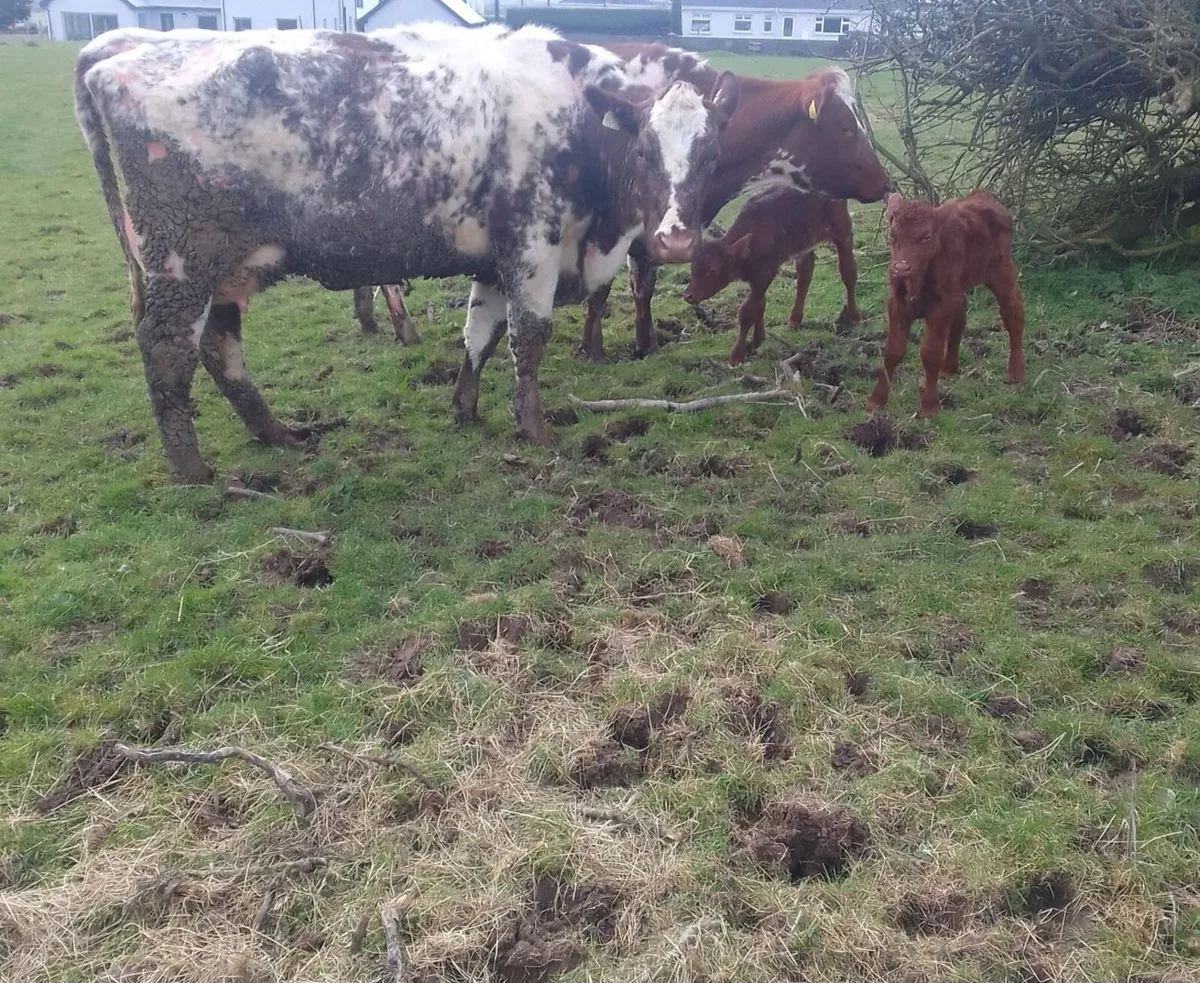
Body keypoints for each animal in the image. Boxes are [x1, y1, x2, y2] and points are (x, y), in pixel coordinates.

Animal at [75, 24, 737, 483]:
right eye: (645, 151)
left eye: (709, 157)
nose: (677, 239)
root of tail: (121, 50)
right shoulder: (532, 250)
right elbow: (528, 339)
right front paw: (534, 429)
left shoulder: (493, 260)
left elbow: (480, 335)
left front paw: (465, 409)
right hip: (182, 261)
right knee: (167, 351)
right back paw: (193, 472)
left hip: (226, 269)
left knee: (219, 347)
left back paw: (279, 435)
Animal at [682, 187, 859, 365]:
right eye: (693, 268)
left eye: (712, 270)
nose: (688, 295)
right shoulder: (757, 278)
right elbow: (759, 304)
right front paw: (757, 340)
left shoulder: (765, 273)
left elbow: (747, 311)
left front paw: (736, 355)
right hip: (804, 241)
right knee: (805, 273)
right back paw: (795, 320)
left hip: (842, 227)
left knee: (848, 272)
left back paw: (853, 316)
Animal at [867, 190, 1026, 417]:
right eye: (892, 235)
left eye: (926, 237)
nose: (901, 268)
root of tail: (983, 195)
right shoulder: (896, 304)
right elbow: (892, 352)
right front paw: (876, 400)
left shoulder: (940, 307)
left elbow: (930, 353)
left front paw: (929, 406)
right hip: (958, 288)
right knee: (960, 316)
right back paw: (949, 367)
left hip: (1001, 273)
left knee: (1013, 313)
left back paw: (1016, 372)